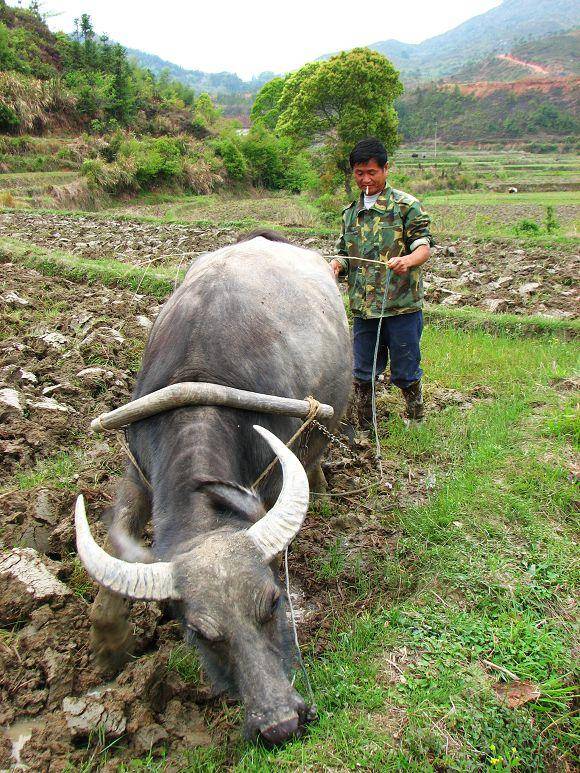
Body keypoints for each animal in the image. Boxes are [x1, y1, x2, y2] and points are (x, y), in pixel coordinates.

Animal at [75, 234, 352, 740]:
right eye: (200, 632)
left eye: (273, 602)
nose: (280, 724)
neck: (199, 381)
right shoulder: (138, 471)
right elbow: (117, 545)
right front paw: (109, 651)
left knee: (318, 449)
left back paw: (322, 487)